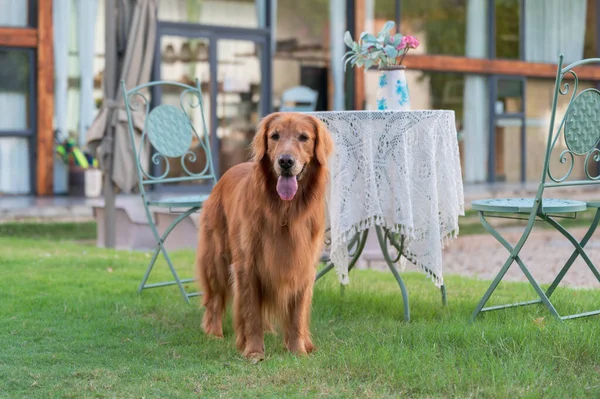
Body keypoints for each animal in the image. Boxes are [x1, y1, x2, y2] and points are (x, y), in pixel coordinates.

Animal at [196, 111, 332, 360]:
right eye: (275, 136)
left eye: (304, 137)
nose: (285, 161)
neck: (285, 211)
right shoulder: (247, 266)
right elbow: (251, 314)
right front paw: (253, 351)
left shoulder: (302, 265)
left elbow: (296, 315)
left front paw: (298, 351)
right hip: (216, 259)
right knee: (214, 299)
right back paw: (214, 333)